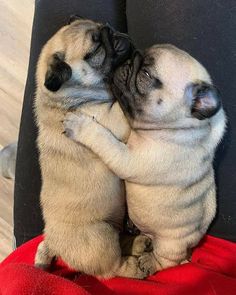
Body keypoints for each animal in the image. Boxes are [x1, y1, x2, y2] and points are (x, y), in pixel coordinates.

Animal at [34, 18, 149, 280]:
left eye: (106, 27)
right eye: (95, 49)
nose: (116, 34)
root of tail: (53, 243)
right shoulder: (110, 119)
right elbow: (123, 107)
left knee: (122, 241)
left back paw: (139, 244)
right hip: (100, 237)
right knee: (112, 268)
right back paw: (135, 268)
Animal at [63, 45, 226, 276]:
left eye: (146, 75)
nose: (127, 58)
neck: (178, 128)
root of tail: (190, 249)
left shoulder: (129, 160)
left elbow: (104, 140)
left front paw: (81, 126)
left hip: (170, 245)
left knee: (168, 262)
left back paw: (149, 263)